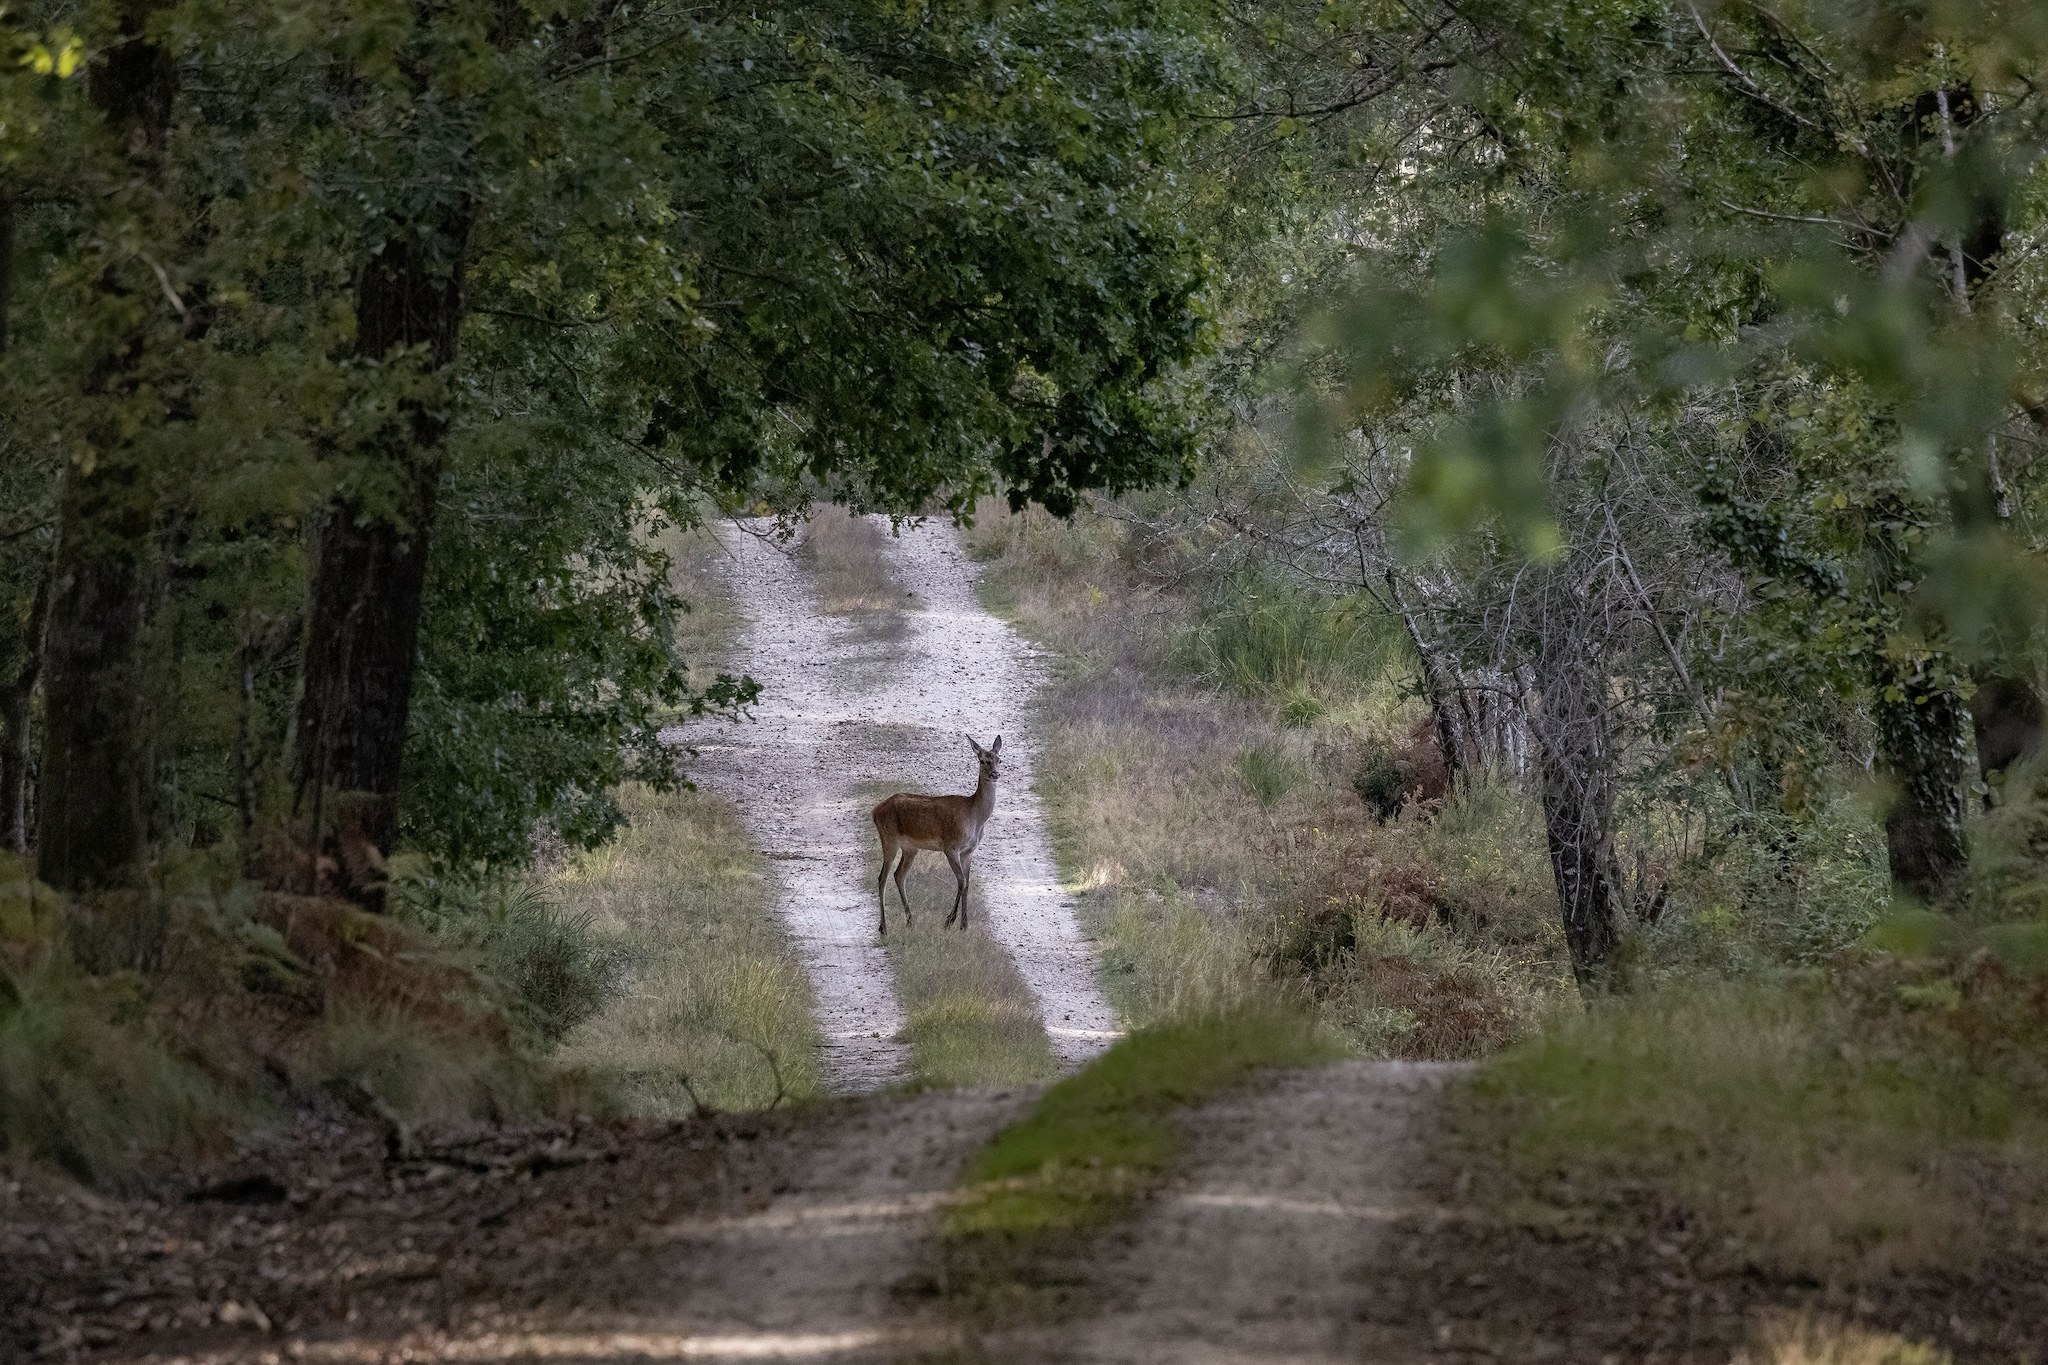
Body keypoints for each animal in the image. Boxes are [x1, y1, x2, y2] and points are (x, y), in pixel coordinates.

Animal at [871, 735, 1002, 936]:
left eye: (999, 760)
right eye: (982, 760)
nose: (995, 774)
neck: (974, 817)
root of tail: (874, 811)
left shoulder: (969, 851)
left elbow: (967, 883)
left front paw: (964, 925)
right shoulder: (951, 846)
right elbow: (961, 881)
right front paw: (949, 921)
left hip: (910, 848)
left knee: (899, 875)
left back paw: (910, 920)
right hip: (889, 838)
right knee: (882, 878)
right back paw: (884, 927)